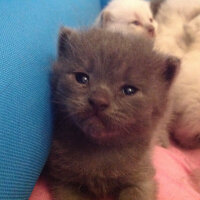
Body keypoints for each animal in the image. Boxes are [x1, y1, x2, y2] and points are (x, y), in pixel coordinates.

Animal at [46, 27, 180, 200]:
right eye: (81, 78)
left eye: (129, 90)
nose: (98, 100)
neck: (100, 149)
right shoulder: (64, 180)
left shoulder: (142, 178)